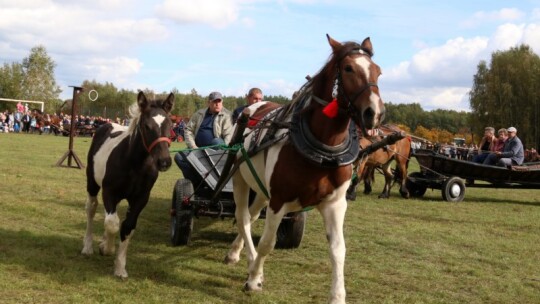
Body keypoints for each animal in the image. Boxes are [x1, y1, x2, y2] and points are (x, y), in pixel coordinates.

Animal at [81, 92, 174, 278]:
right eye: (146, 126)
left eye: (170, 125)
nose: (164, 162)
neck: (135, 165)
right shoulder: (109, 193)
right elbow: (112, 224)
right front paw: (106, 248)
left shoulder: (140, 199)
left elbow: (127, 227)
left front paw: (120, 268)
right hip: (92, 184)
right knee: (92, 208)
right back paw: (88, 247)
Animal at [226, 35, 386, 302]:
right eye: (348, 68)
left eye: (378, 71)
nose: (374, 113)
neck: (322, 150)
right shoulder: (279, 199)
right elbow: (267, 243)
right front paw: (254, 280)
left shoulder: (335, 204)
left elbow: (338, 249)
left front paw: (337, 296)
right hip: (239, 176)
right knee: (243, 217)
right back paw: (247, 260)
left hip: (262, 188)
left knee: (253, 213)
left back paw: (239, 253)